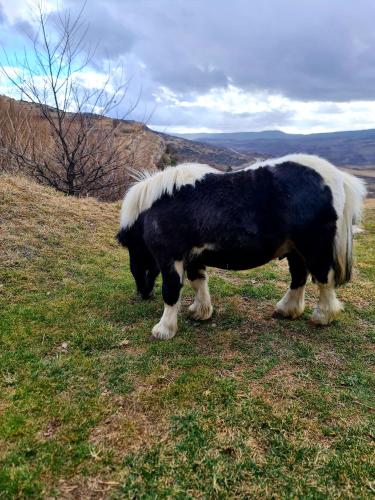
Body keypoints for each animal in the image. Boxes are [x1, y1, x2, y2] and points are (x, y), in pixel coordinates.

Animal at [117, 154, 368, 338]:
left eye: (134, 252)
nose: (142, 293)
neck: (157, 205)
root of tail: (336, 177)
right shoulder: (194, 257)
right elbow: (198, 282)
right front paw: (200, 312)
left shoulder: (171, 258)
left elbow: (171, 291)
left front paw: (164, 330)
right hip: (295, 251)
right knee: (299, 277)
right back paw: (287, 310)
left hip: (314, 249)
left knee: (324, 279)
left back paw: (323, 316)